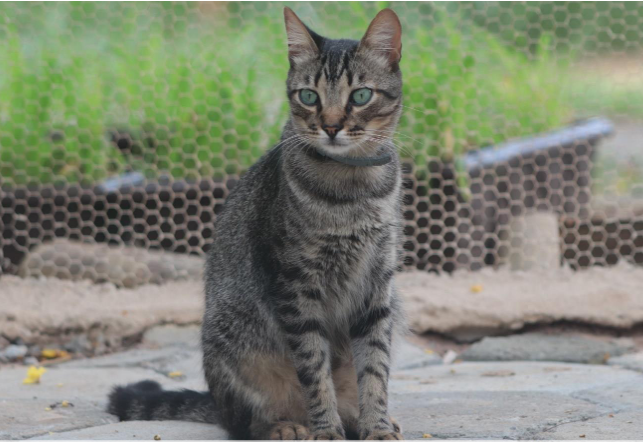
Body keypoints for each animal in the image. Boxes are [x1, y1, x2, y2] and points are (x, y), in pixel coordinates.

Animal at [108, 8, 406, 440]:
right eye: (309, 96)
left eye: (361, 96)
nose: (332, 126)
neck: (355, 188)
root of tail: (216, 403)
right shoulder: (295, 287)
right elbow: (314, 370)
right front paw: (326, 429)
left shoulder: (378, 286)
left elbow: (375, 368)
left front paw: (376, 425)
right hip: (237, 342)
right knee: (246, 421)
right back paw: (287, 425)